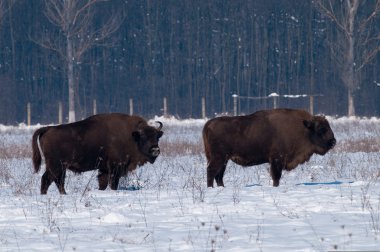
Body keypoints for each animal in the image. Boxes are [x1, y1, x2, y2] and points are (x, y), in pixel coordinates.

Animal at [32, 113, 163, 194]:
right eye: (144, 137)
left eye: (157, 137)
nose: (155, 150)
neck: (132, 136)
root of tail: (48, 129)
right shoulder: (115, 168)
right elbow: (112, 183)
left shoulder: (104, 169)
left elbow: (102, 183)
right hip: (55, 166)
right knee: (47, 179)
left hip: (60, 167)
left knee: (58, 181)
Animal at [202, 108, 336, 187]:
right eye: (321, 129)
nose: (333, 142)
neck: (304, 129)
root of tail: (208, 124)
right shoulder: (276, 160)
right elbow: (276, 176)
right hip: (218, 158)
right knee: (211, 172)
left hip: (224, 160)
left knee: (219, 175)